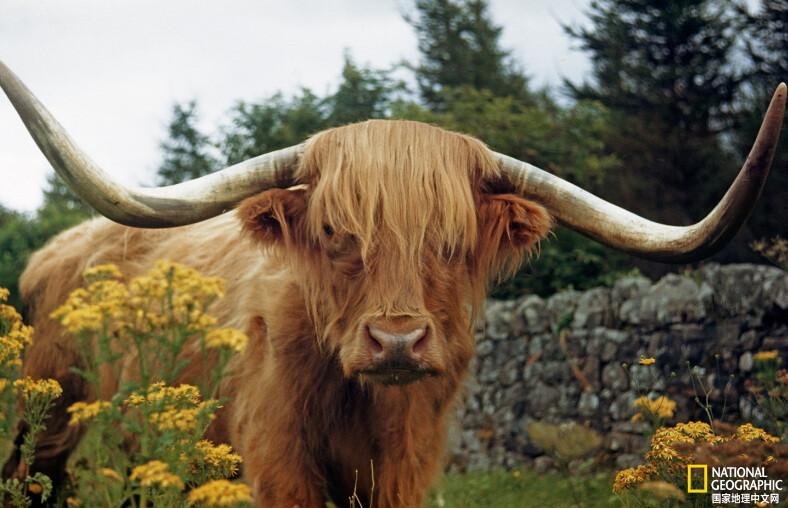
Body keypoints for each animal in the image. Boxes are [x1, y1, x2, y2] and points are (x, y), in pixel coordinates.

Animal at [0, 60, 784, 508]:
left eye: (453, 241)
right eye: (333, 232)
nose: (397, 341)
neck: (366, 406)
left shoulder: (408, 469)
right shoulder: (277, 465)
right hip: (45, 422)